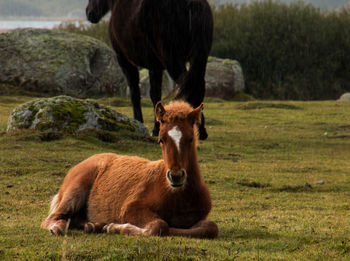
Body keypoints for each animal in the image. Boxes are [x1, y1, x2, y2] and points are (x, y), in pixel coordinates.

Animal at [41, 101, 219, 238]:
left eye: (190, 139)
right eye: (161, 140)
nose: (176, 176)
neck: (179, 197)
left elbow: (211, 228)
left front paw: (107, 226)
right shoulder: (131, 208)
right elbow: (160, 225)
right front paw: (115, 227)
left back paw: (93, 225)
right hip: (76, 190)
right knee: (52, 218)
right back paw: (58, 228)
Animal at [85, 0, 213, 140]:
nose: (89, 13)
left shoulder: (125, 60)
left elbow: (135, 93)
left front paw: (139, 123)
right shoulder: (155, 66)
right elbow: (155, 95)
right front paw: (156, 128)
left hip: (173, 59)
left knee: (191, 88)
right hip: (199, 58)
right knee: (198, 87)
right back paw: (202, 131)